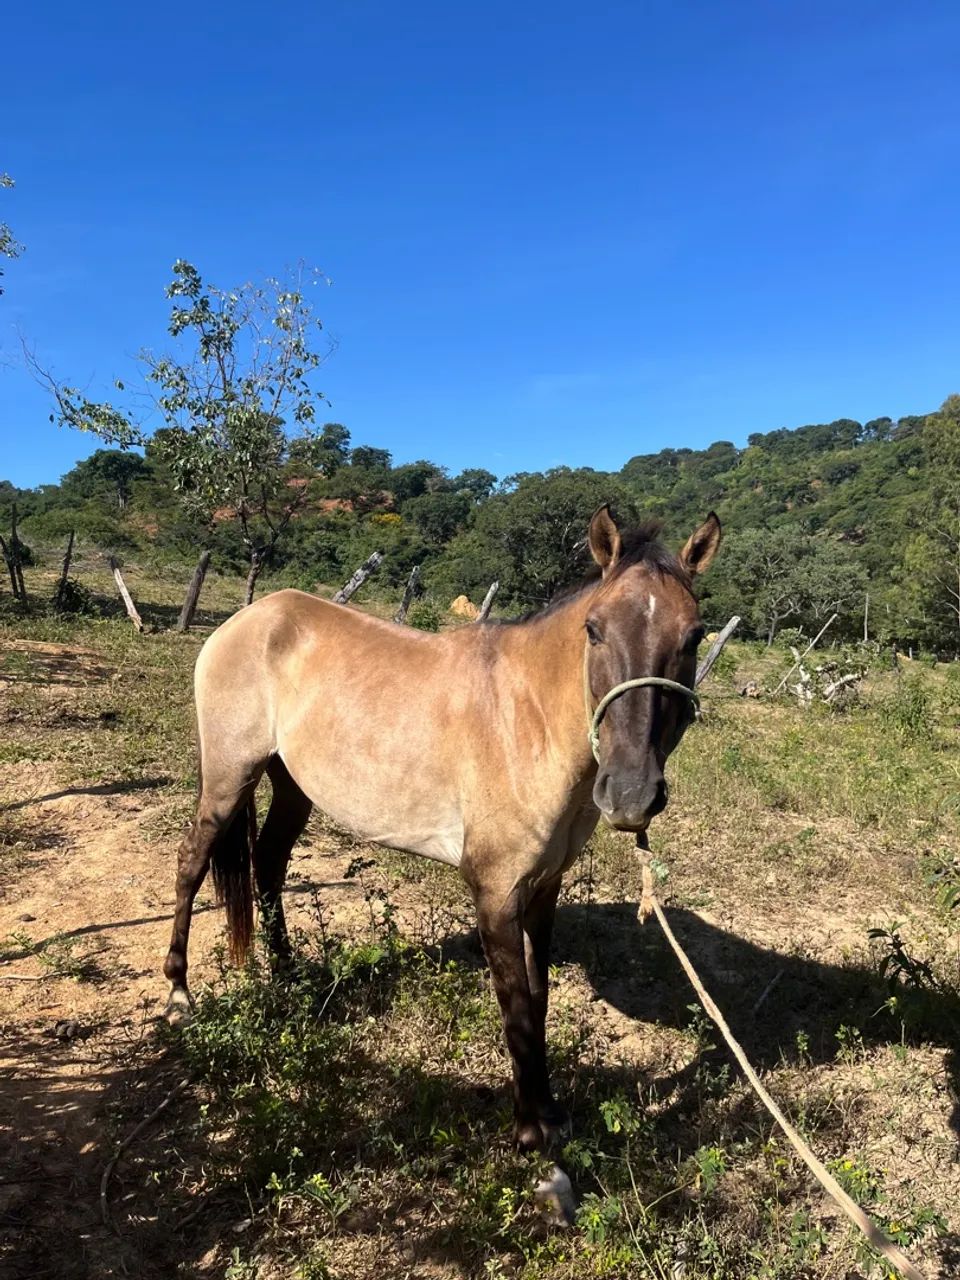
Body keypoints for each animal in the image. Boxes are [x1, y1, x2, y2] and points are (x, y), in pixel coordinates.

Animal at [163, 505, 721, 1151]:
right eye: (594, 629)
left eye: (694, 636)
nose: (630, 793)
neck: (525, 719)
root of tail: (250, 618)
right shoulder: (494, 890)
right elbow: (516, 1009)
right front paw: (531, 1129)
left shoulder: (544, 888)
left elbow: (539, 998)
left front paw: (550, 1111)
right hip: (229, 777)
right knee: (192, 863)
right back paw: (178, 994)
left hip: (292, 787)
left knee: (270, 864)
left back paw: (289, 976)